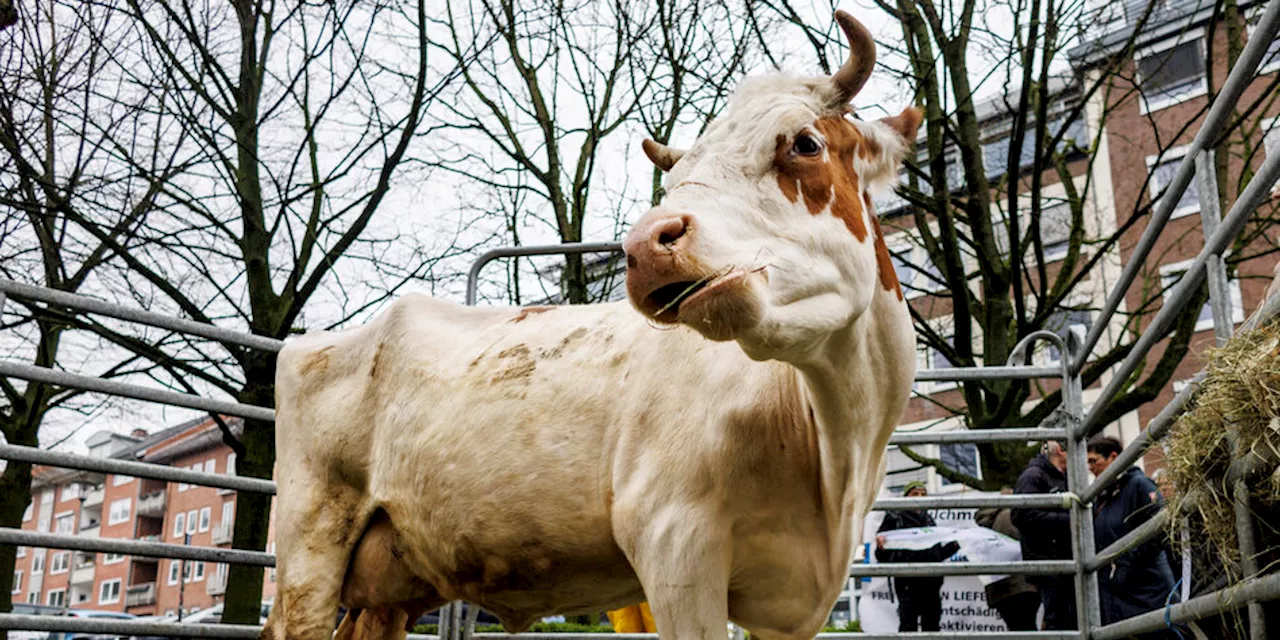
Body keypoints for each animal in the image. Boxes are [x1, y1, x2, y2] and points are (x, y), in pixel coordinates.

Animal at [262, 11, 921, 640]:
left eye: (805, 144)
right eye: (674, 180)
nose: (645, 245)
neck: (835, 447)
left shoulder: (789, 603)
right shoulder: (675, 543)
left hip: (390, 582)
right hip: (309, 541)